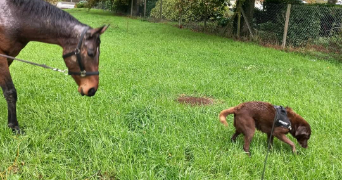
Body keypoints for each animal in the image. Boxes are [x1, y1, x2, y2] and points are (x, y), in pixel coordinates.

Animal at [0, 0, 108, 132]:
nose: (92, 89)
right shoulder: (1, 57)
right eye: (90, 53)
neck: (12, 16)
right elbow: (10, 92)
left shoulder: (9, 56)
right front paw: (14, 125)